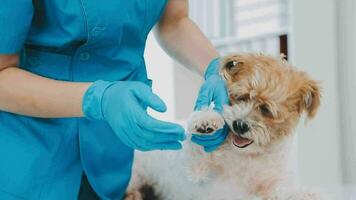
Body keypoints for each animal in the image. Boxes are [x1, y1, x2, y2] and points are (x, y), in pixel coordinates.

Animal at [124, 53, 322, 200]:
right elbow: (195, 150)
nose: (239, 124)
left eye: (266, 109)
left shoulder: (275, 185)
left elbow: (285, 192)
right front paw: (206, 120)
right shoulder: (195, 171)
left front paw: (309, 194)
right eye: (240, 97)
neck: (248, 158)